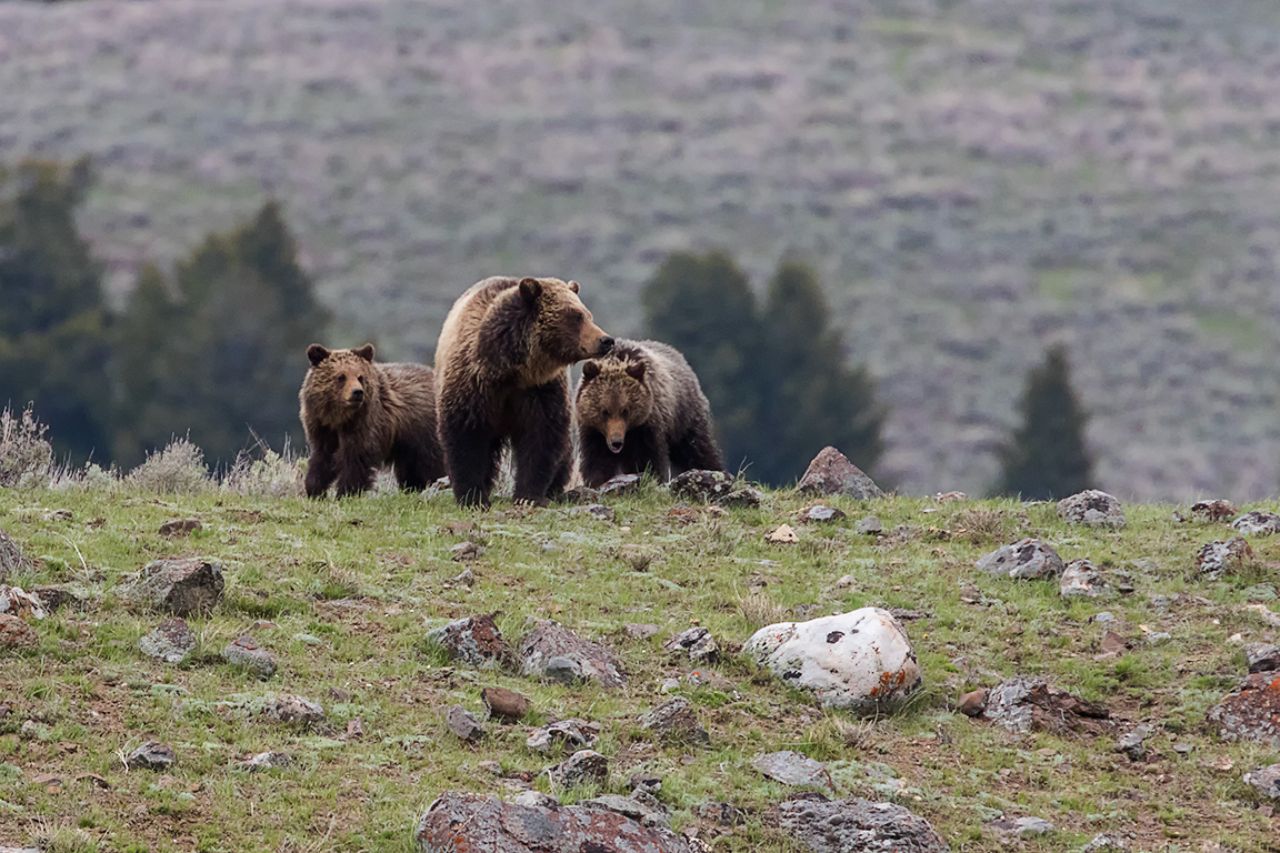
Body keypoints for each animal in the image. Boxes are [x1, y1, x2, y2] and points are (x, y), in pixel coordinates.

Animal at [299, 343, 445, 498]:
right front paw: (315, 490)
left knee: (432, 463)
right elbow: (322, 458)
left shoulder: (365, 423)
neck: (339, 418)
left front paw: (346, 493)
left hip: (424, 432)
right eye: (341, 376)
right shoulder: (321, 426)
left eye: (360, 377)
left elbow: (356, 460)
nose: (357, 392)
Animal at [434, 276, 614, 507]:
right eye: (576, 316)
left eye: (588, 314)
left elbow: (541, 437)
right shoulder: (473, 386)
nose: (606, 340)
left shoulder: (540, 390)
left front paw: (528, 496)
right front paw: (473, 497)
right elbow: (466, 438)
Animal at [575, 339, 724, 488]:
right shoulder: (593, 432)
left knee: (697, 448)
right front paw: (597, 481)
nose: (616, 442)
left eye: (625, 410)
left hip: (684, 416)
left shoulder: (647, 425)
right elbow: (596, 461)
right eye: (605, 411)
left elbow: (649, 460)